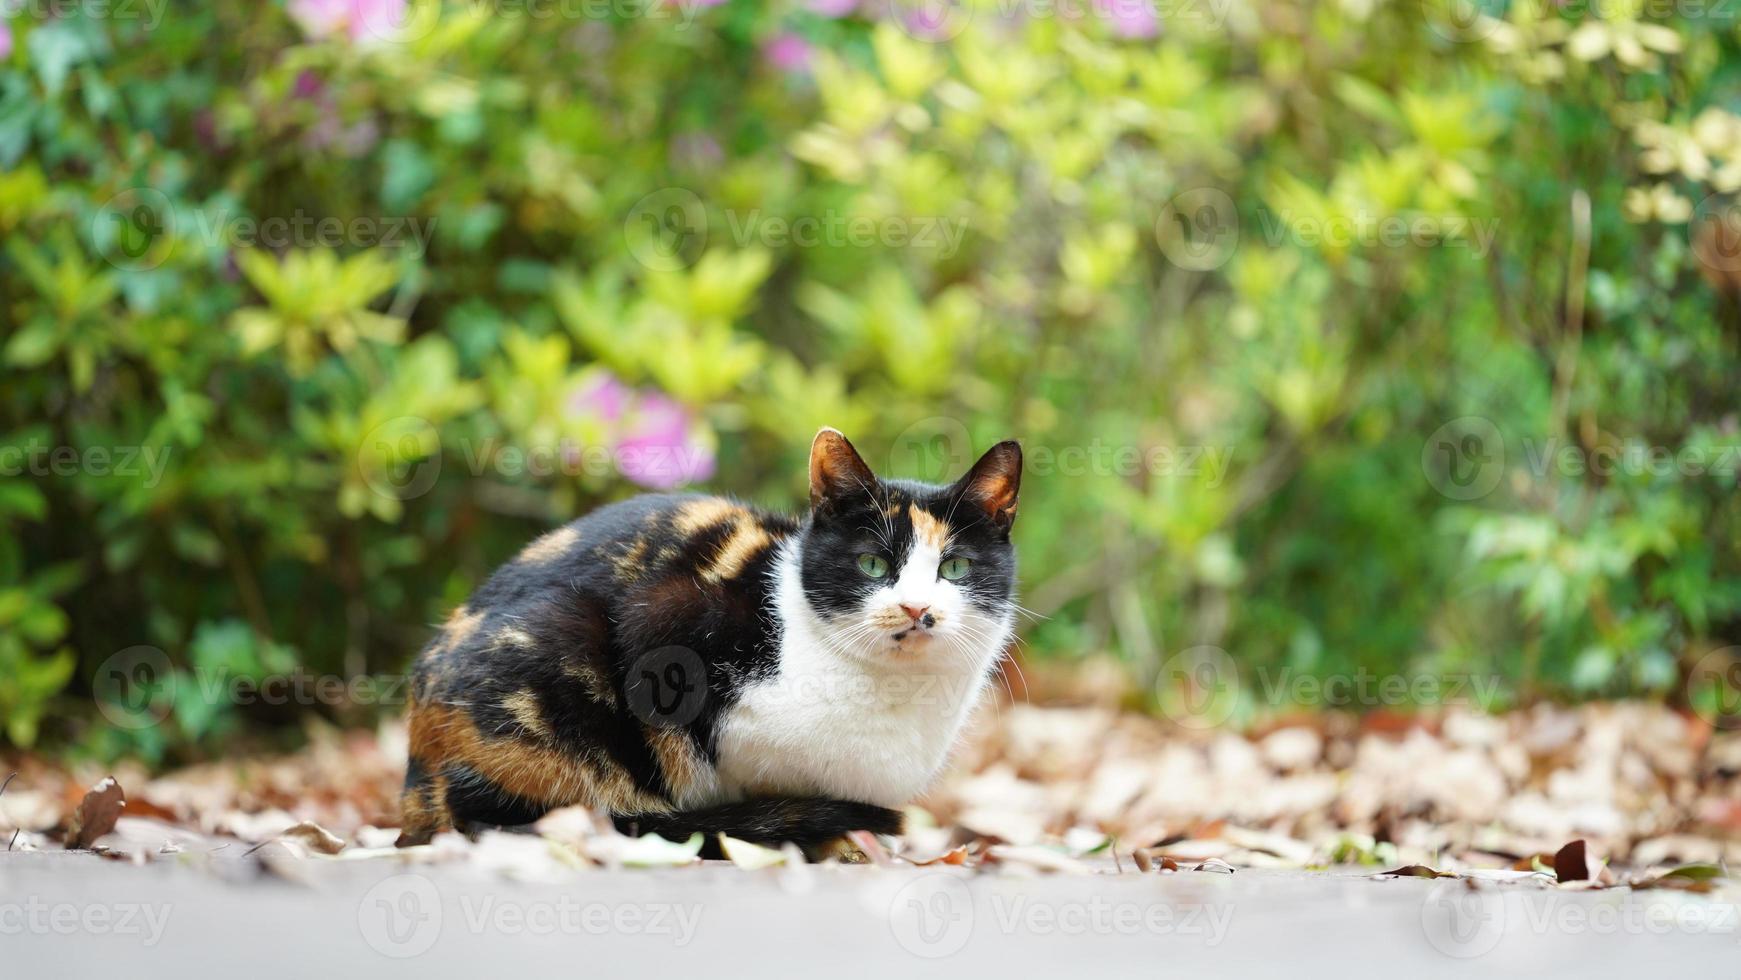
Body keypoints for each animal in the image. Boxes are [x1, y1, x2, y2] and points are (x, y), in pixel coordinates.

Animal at [395, 426, 1016, 856]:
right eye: (872, 564)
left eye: (955, 567)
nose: (917, 608)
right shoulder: (664, 624)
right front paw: (822, 833)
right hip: (559, 638)